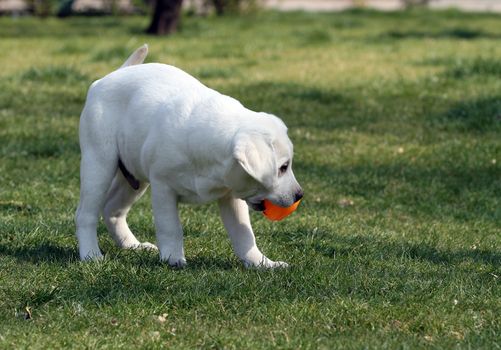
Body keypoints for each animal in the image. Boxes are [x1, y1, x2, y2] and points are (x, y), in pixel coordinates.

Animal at [75, 44, 300, 268]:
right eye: (283, 167)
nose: (300, 195)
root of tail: (110, 76)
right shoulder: (163, 188)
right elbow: (170, 227)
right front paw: (173, 259)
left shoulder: (231, 197)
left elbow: (244, 235)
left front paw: (262, 262)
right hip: (99, 165)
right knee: (86, 214)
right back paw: (91, 255)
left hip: (133, 178)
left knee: (113, 210)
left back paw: (133, 245)